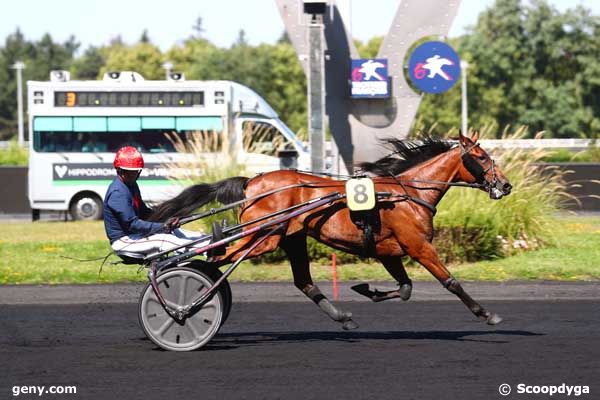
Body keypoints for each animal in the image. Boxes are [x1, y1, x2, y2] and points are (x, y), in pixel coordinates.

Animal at [149, 133, 510, 330]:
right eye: (481, 157)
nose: (505, 185)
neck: (407, 193)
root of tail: (252, 181)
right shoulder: (418, 246)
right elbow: (451, 282)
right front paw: (488, 314)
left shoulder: (388, 251)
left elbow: (405, 288)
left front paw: (366, 289)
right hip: (263, 236)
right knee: (217, 256)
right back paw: (185, 299)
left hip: (290, 238)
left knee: (303, 282)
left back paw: (343, 318)